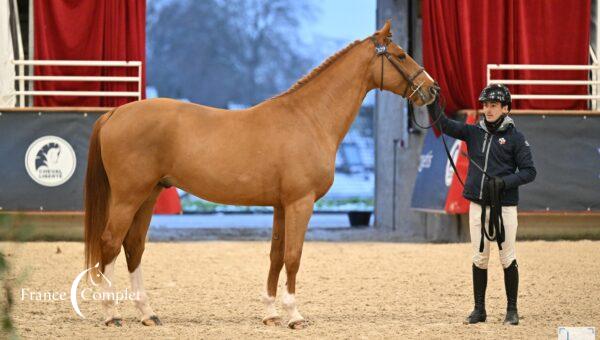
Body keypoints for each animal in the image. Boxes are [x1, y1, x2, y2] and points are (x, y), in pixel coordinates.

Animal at [83, 20, 436, 330]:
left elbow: (275, 256)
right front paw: (294, 316)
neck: (309, 118)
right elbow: (293, 256)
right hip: (129, 196)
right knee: (110, 243)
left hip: (150, 193)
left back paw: (147, 314)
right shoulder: (300, 203)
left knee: (134, 245)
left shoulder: (281, 205)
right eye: (401, 55)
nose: (432, 90)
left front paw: (270, 314)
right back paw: (111, 314)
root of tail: (115, 113)